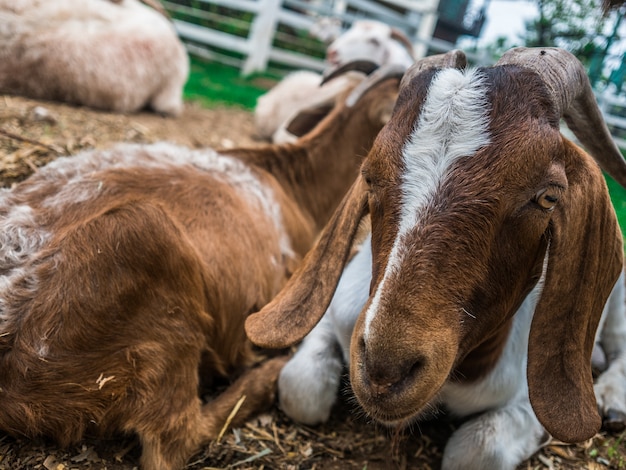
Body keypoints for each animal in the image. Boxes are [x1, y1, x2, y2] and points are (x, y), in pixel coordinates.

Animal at [247, 48, 626, 470]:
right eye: (370, 174)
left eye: (547, 196)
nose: (385, 370)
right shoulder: (336, 315)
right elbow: (301, 389)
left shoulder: (530, 404)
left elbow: (475, 452)